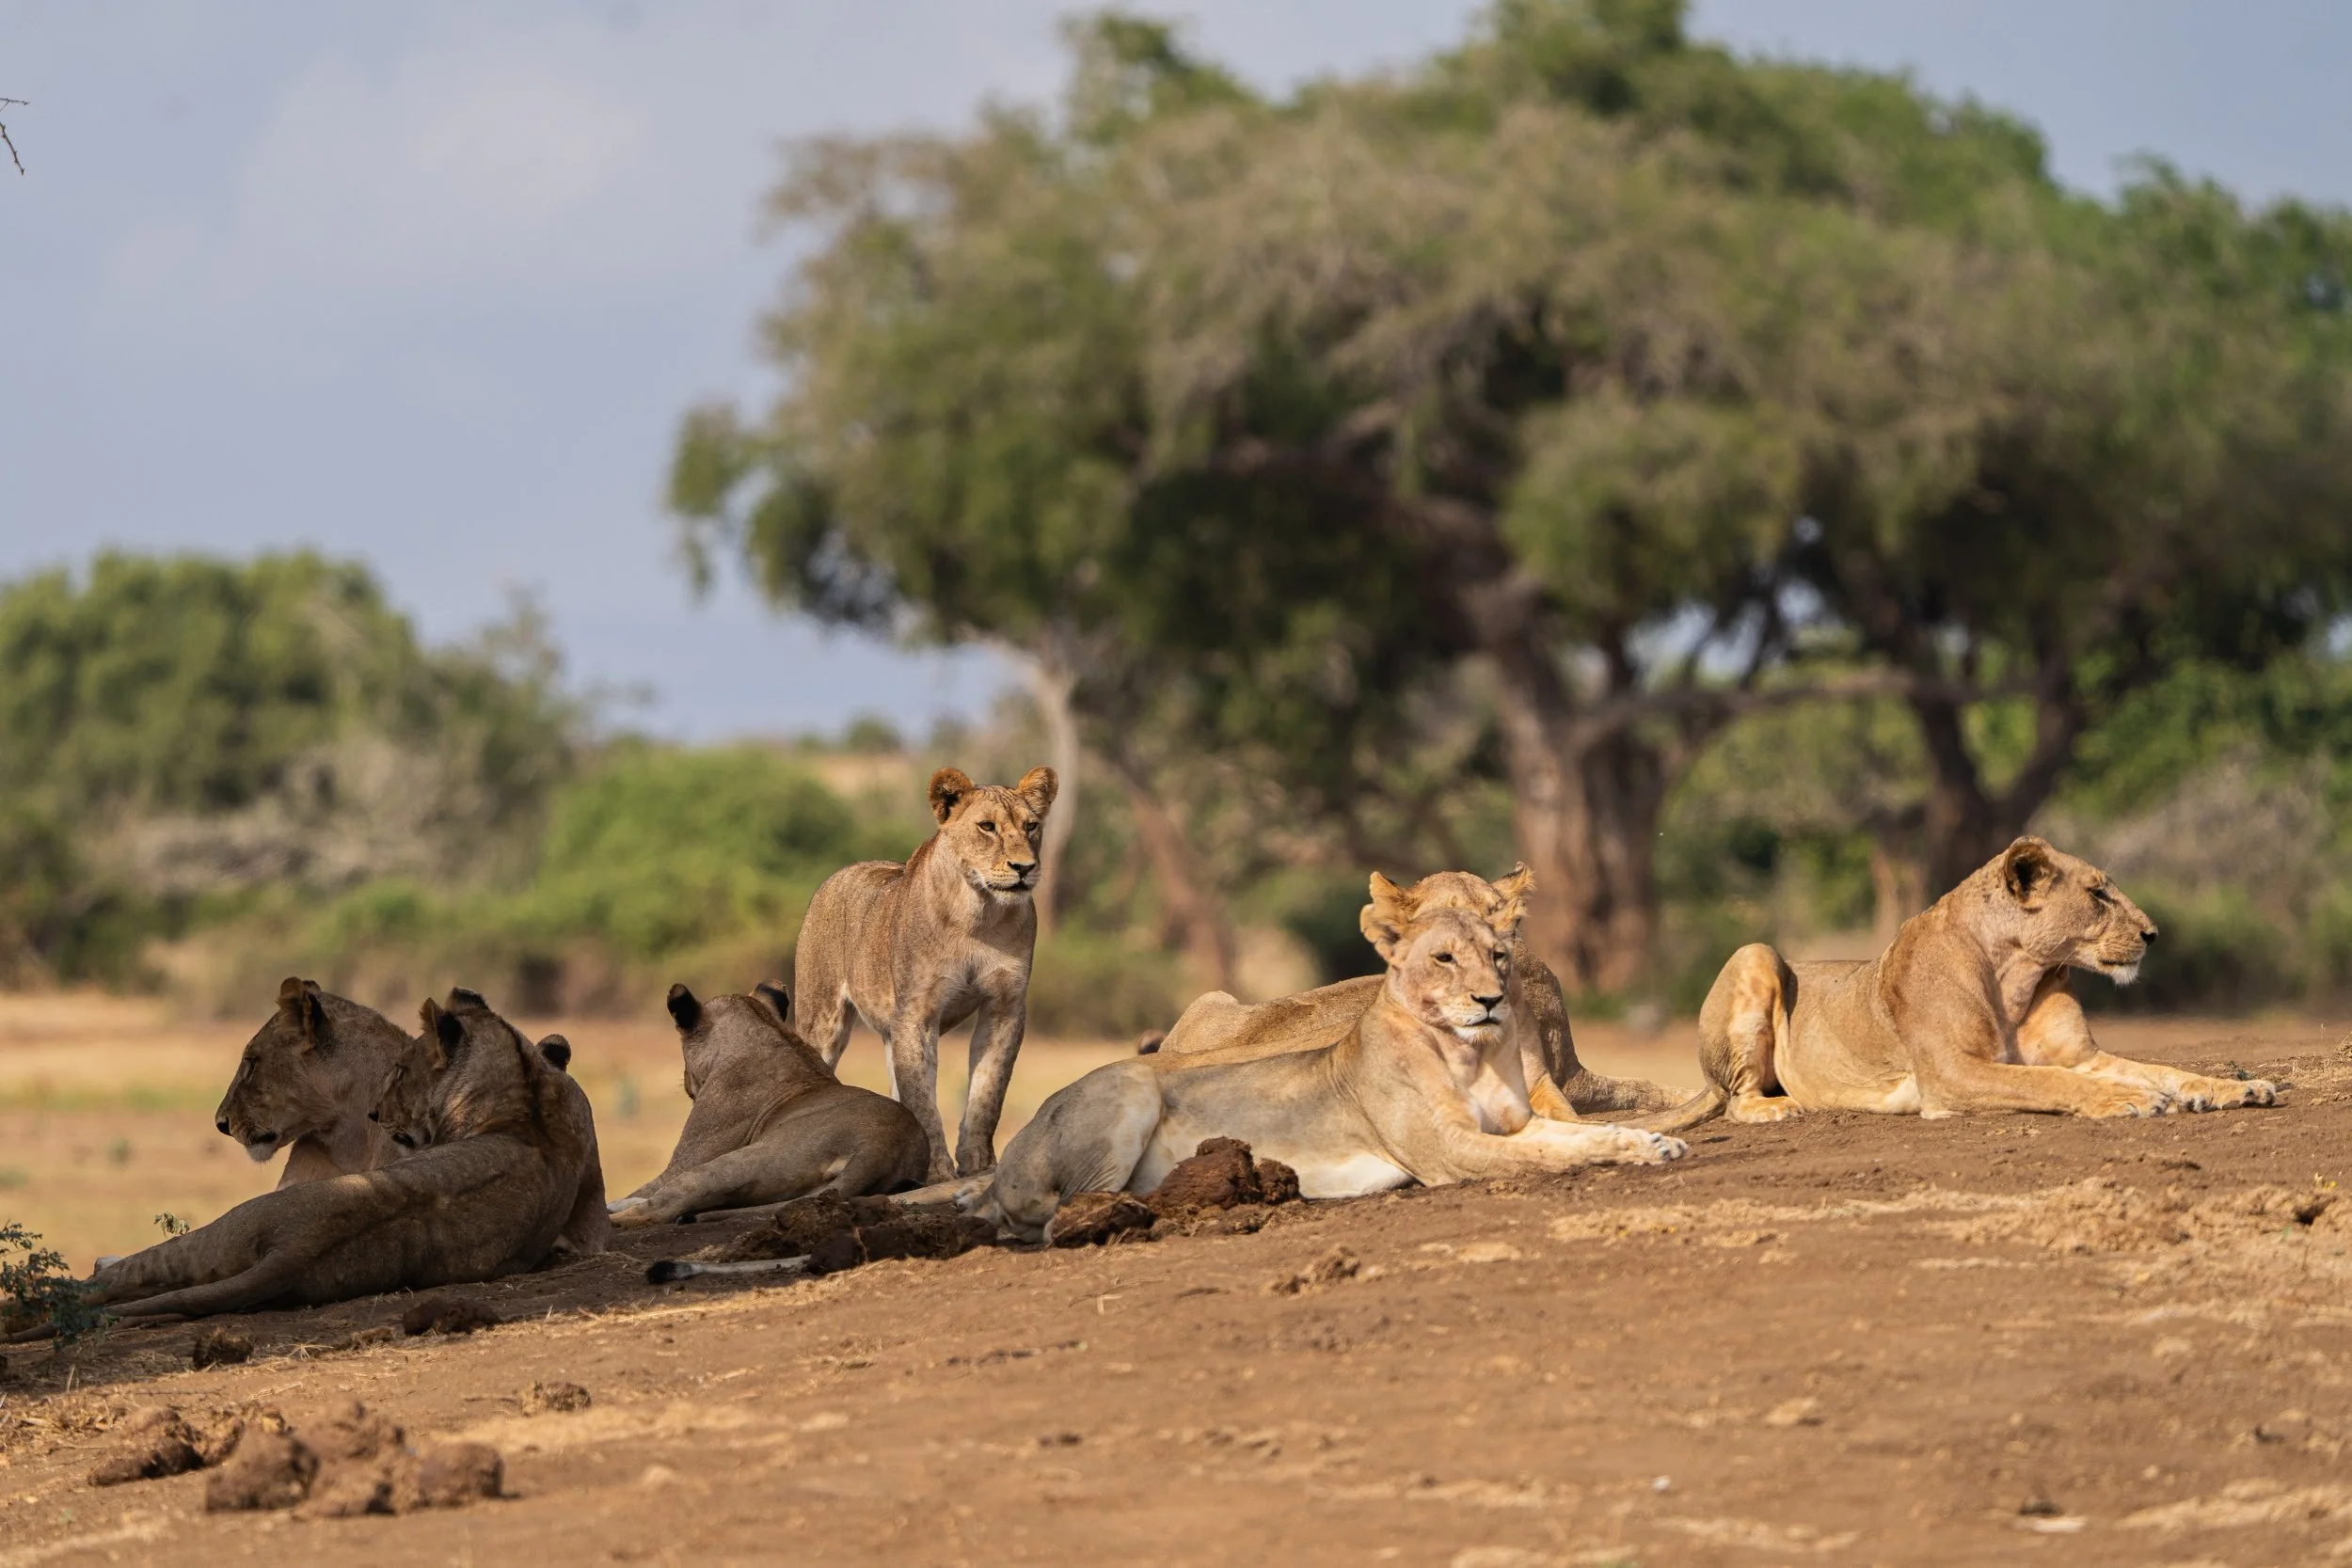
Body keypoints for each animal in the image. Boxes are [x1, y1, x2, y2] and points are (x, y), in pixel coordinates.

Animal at [607, 982, 930, 1226]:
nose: (686, 1081)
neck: (764, 1030)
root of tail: (882, 1144)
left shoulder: (688, 1158)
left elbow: (651, 1186)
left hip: (735, 1164)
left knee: (662, 1206)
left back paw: (614, 1219)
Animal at [793, 764, 1057, 1181]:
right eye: (987, 827)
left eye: (1031, 826)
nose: (1024, 868)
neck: (978, 914)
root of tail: (841, 872)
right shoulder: (916, 1013)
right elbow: (922, 1098)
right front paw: (936, 1171)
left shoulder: (1005, 1006)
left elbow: (989, 1089)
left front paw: (980, 1164)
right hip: (822, 1019)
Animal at [1691, 836, 2282, 1123]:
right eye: (2097, 894)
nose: (2154, 934)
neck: (2016, 975)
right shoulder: (1950, 1074)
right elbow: (2049, 1082)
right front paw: (2127, 1100)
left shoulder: (2083, 1056)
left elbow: (2163, 1070)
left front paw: (2236, 1088)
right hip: (1757, 953)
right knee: (1737, 1100)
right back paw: (1780, 1107)